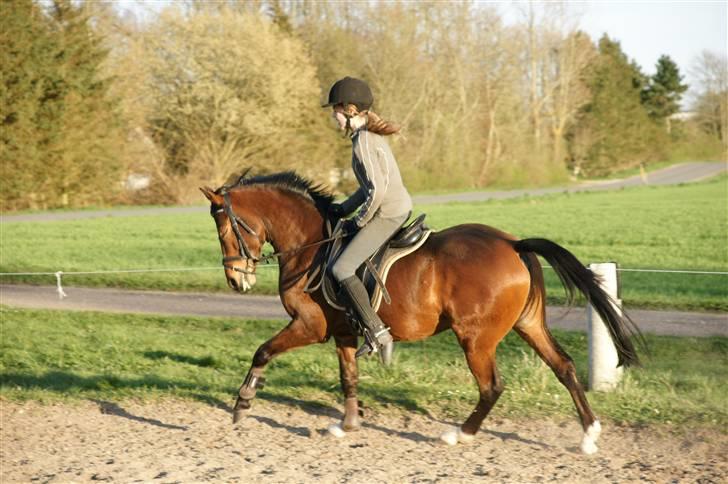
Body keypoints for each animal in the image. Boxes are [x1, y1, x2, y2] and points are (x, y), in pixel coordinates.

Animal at [199, 171, 642, 454]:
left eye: (224, 231)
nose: (236, 280)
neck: (311, 244)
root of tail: (514, 244)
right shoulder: (343, 331)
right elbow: (348, 377)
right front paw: (348, 424)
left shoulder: (309, 325)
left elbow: (263, 351)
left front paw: (242, 403)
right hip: (528, 324)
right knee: (564, 367)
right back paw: (589, 435)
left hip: (475, 338)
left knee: (492, 387)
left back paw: (460, 434)